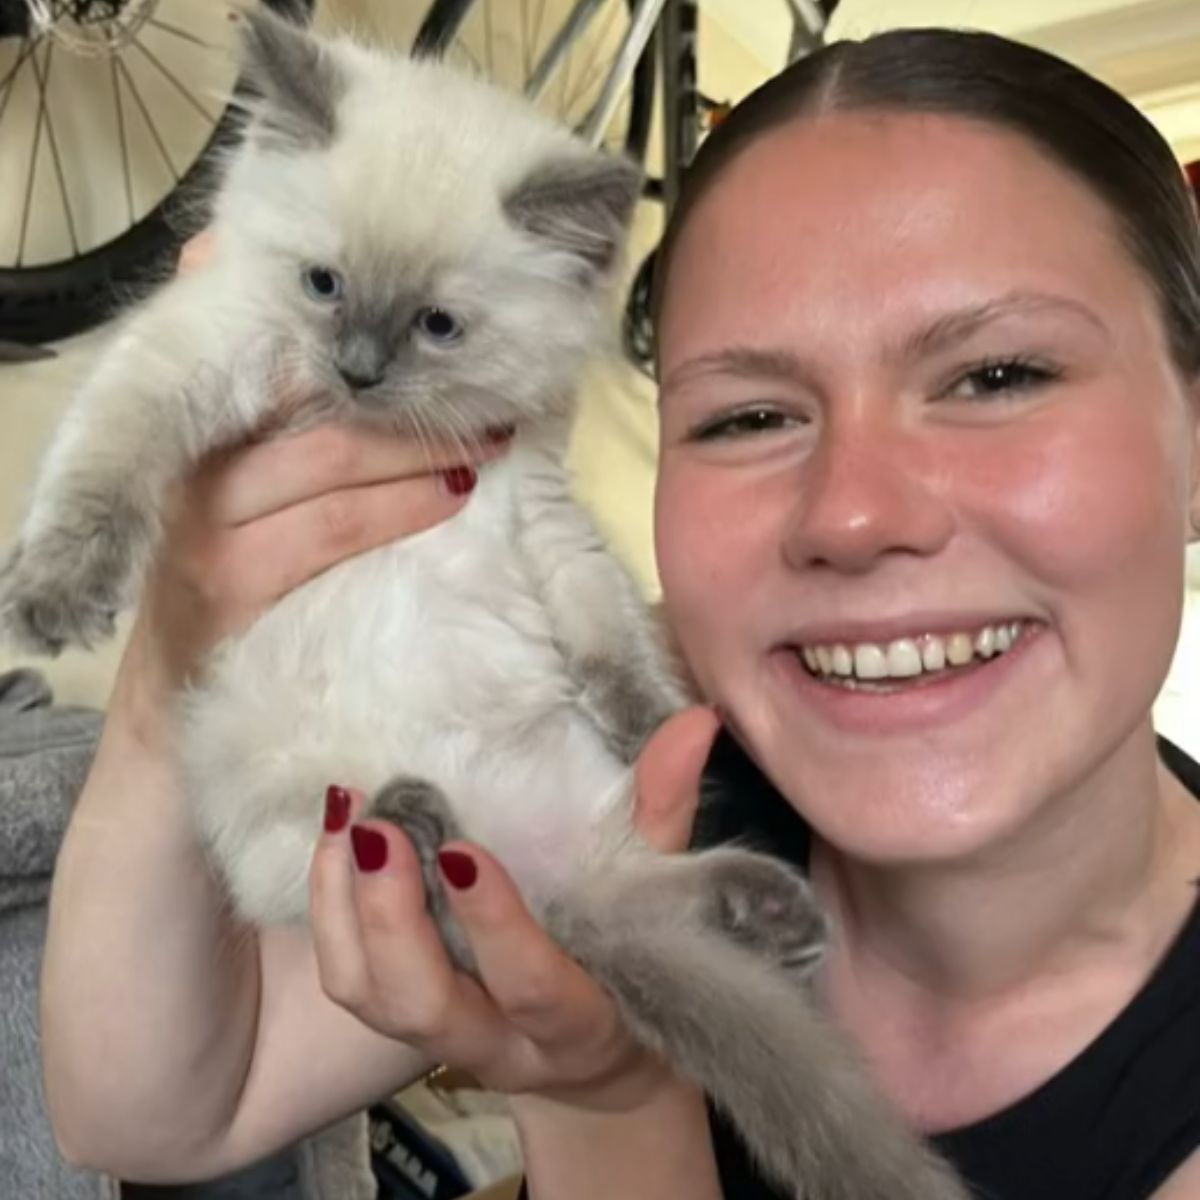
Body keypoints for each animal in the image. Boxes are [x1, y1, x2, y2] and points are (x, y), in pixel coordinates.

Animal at [0, 11, 964, 1200]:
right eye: (323, 284)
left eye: (437, 326)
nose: (357, 371)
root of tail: (519, 859)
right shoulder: (191, 353)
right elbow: (105, 464)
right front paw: (54, 602)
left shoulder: (538, 505)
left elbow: (605, 630)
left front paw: (656, 718)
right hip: (299, 822)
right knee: (445, 889)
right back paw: (416, 827)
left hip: (557, 844)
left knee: (590, 905)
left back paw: (760, 909)